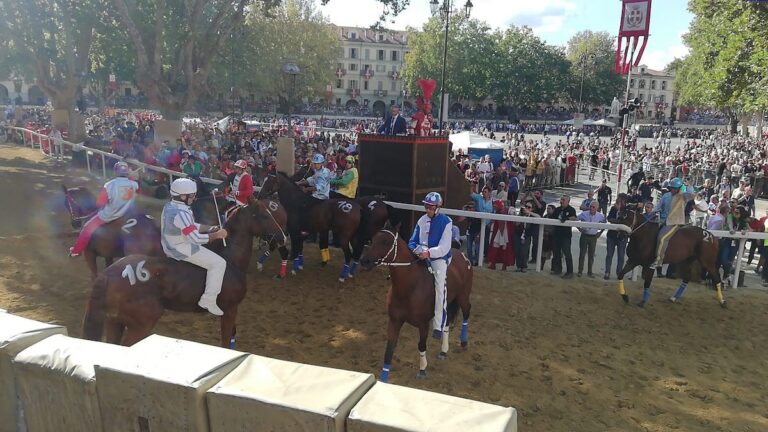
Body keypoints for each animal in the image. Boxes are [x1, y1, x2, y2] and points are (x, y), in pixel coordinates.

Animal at [81, 200, 286, 348]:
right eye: (264, 216)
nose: (283, 237)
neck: (230, 258)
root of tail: (111, 273)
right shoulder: (229, 309)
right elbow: (226, 340)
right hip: (141, 324)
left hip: (115, 322)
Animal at [360, 226, 474, 382]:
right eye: (373, 239)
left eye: (385, 242)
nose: (364, 260)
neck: (410, 287)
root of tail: (464, 256)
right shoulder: (394, 321)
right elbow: (389, 350)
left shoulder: (423, 324)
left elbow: (421, 345)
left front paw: (422, 369)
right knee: (446, 322)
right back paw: (444, 351)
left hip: (462, 296)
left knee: (467, 311)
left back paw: (463, 342)